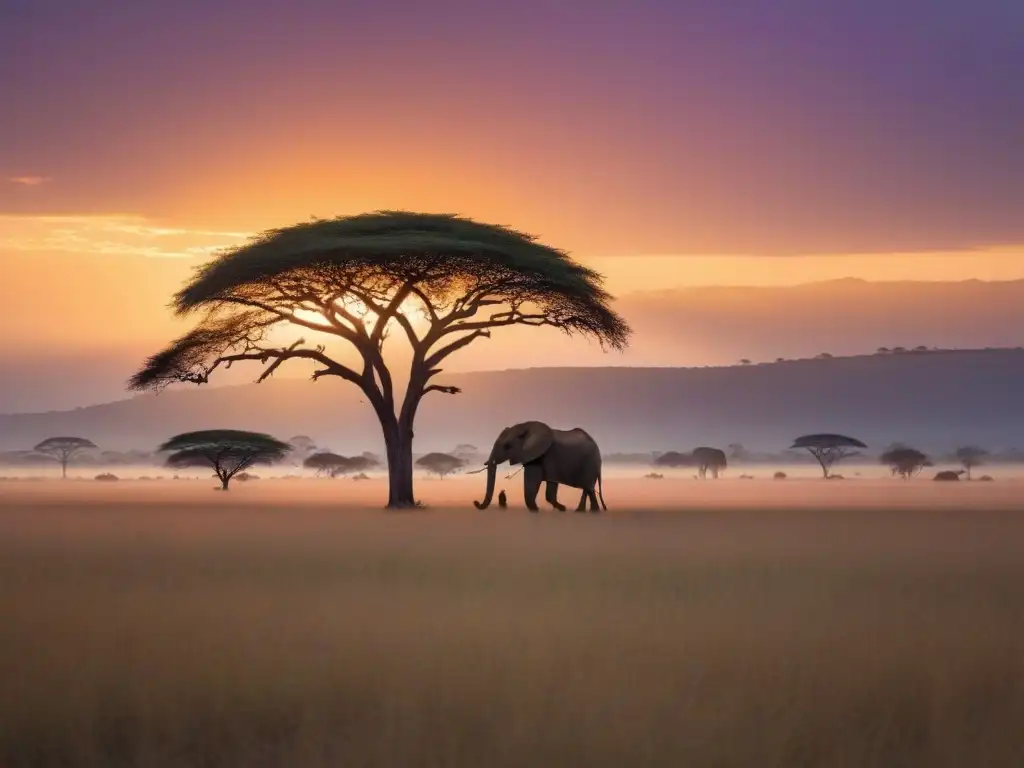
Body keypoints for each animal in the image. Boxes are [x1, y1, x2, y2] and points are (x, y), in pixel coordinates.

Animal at [473, 423, 606, 514]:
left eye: (507, 446)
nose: (476, 502)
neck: (525, 426)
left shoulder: (541, 455)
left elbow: (533, 483)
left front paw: (536, 510)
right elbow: (548, 487)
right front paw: (561, 508)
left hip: (591, 463)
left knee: (588, 488)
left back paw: (588, 512)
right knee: (588, 489)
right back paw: (586, 511)